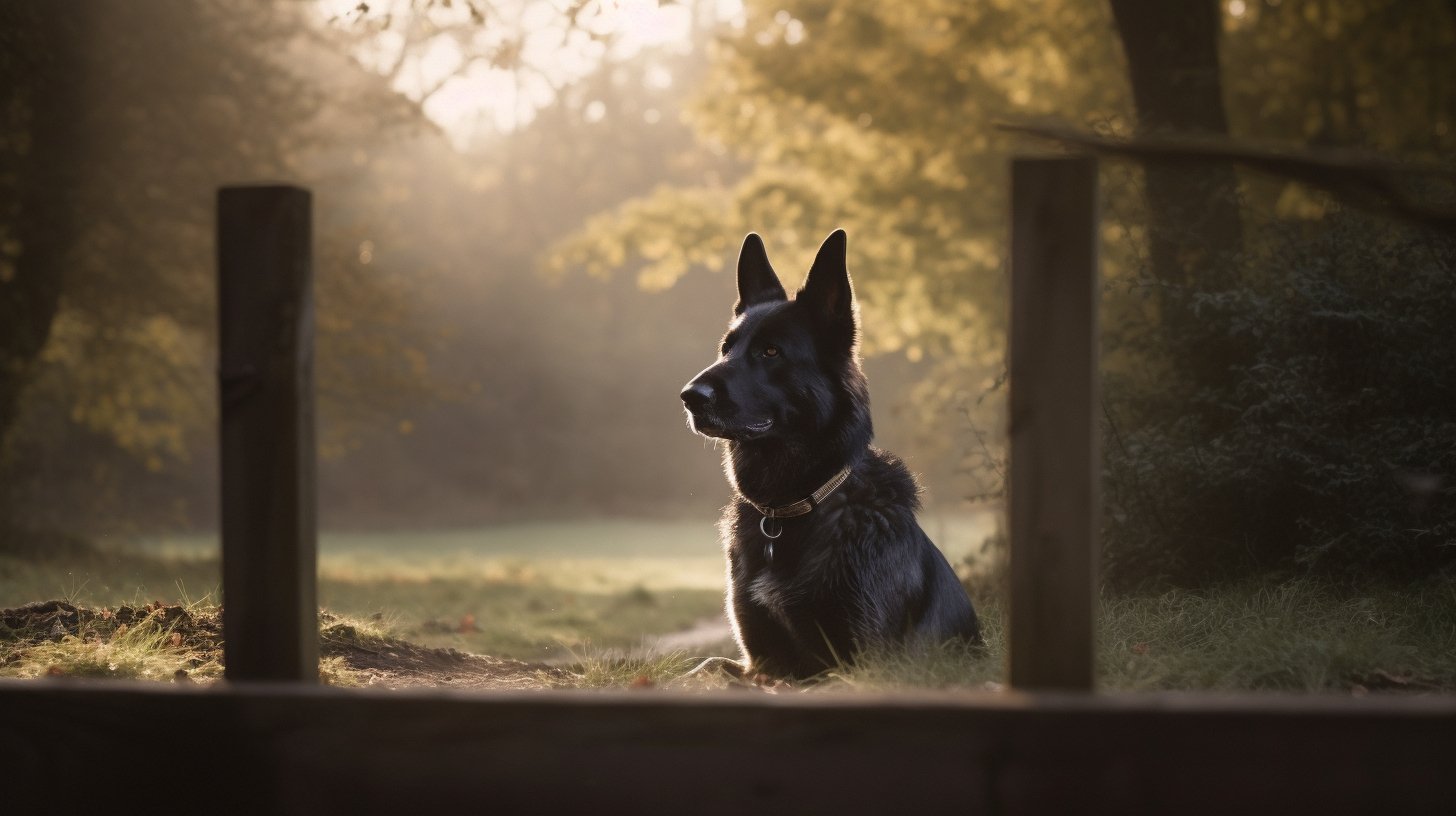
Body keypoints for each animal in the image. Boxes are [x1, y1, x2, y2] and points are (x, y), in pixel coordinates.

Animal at [678, 231, 978, 681]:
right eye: (726, 349)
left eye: (771, 352)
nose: (689, 397)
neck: (790, 509)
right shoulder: (758, 661)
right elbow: (708, 664)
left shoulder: (863, 664)